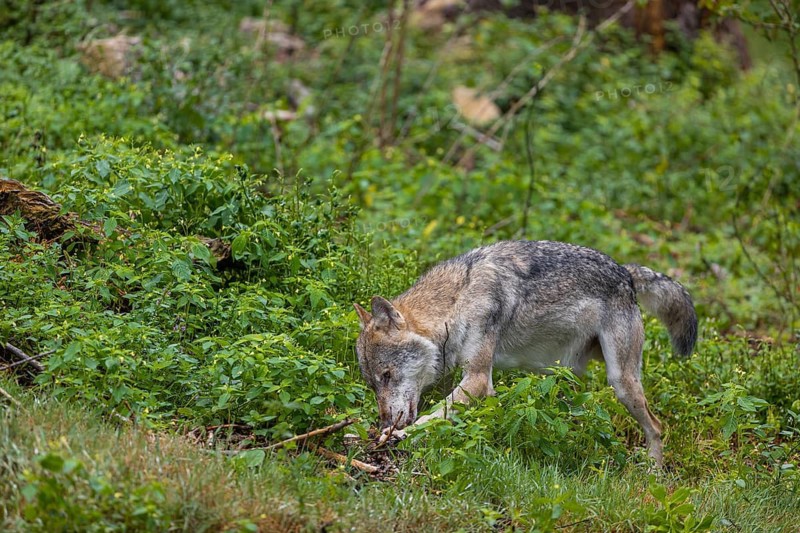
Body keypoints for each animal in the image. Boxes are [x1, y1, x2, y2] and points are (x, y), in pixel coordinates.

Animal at [354, 240, 697, 465]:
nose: (384, 423)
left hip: (621, 383)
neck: (456, 301)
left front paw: (398, 436)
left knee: (657, 427)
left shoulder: (478, 379)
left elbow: (432, 416)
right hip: (564, 377)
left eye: (388, 376)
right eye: (373, 384)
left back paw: (653, 475)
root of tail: (626, 273)